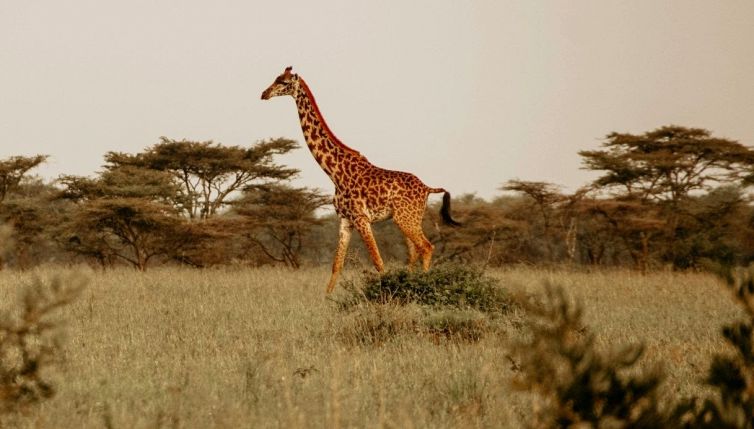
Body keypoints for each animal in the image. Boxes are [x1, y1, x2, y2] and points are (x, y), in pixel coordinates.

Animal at [261, 66, 460, 293]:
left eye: (283, 82)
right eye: (276, 78)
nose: (264, 94)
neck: (334, 172)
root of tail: (427, 188)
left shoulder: (361, 218)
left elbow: (378, 262)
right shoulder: (345, 220)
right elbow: (337, 265)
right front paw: (326, 298)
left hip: (405, 218)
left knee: (426, 247)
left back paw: (424, 287)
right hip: (409, 218)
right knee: (414, 252)